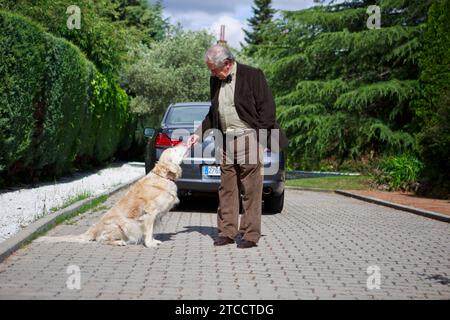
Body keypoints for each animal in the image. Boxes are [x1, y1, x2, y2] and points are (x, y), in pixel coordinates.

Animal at [36, 145, 188, 248]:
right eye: (174, 149)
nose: (183, 141)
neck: (164, 177)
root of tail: (91, 230)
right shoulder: (150, 213)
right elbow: (149, 230)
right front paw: (149, 244)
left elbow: (152, 231)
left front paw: (153, 241)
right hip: (122, 225)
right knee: (101, 239)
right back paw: (119, 242)